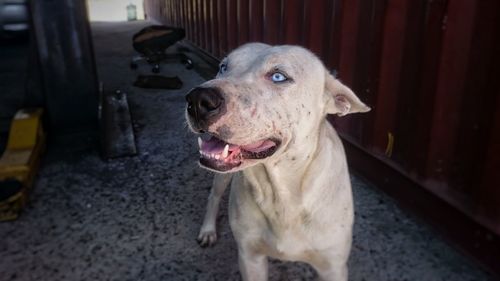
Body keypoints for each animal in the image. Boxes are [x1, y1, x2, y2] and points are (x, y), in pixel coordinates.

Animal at [186, 42, 370, 278]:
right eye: (223, 67)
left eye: (278, 77)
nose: (198, 99)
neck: (281, 194)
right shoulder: (250, 258)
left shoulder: (333, 268)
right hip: (221, 177)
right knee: (214, 196)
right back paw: (208, 230)